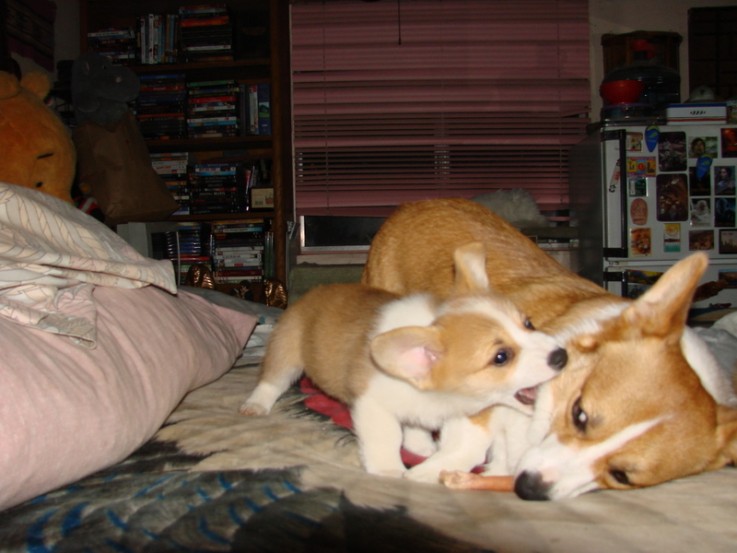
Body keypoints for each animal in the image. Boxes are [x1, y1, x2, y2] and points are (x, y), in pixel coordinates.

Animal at [239, 243, 568, 478]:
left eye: (528, 324)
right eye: (501, 357)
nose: (561, 356)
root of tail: (309, 295)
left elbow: (414, 426)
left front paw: (421, 445)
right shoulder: (373, 405)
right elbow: (388, 437)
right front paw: (389, 469)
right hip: (287, 352)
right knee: (272, 379)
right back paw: (255, 405)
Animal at [360, 198, 736, 500]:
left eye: (621, 476)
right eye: (579, 413)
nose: (529, 488)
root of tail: (417, 203)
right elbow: (466, 439)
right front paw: (422, 473)